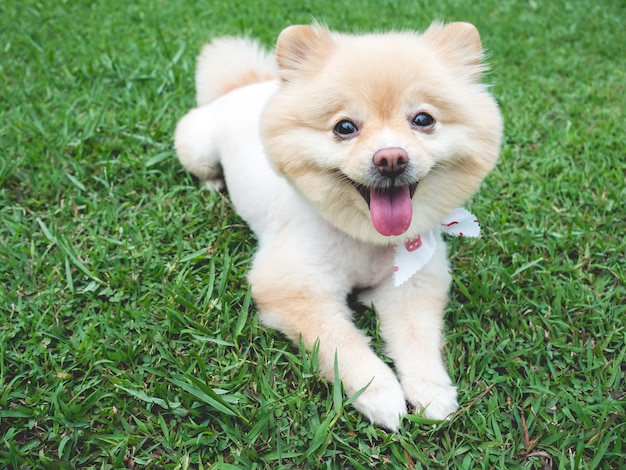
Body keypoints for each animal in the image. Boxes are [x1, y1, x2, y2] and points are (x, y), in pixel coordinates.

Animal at [174, 21, 502, 430]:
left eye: (423, 120)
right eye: (344, 127)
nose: (391, 158)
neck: (367, 240)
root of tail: (248, 84)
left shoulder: (412, 286)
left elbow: (418, 340)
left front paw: (432, 391)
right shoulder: (295, 288)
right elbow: (340, 344)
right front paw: (380, 394)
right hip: (197, 149)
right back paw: (213, 184)